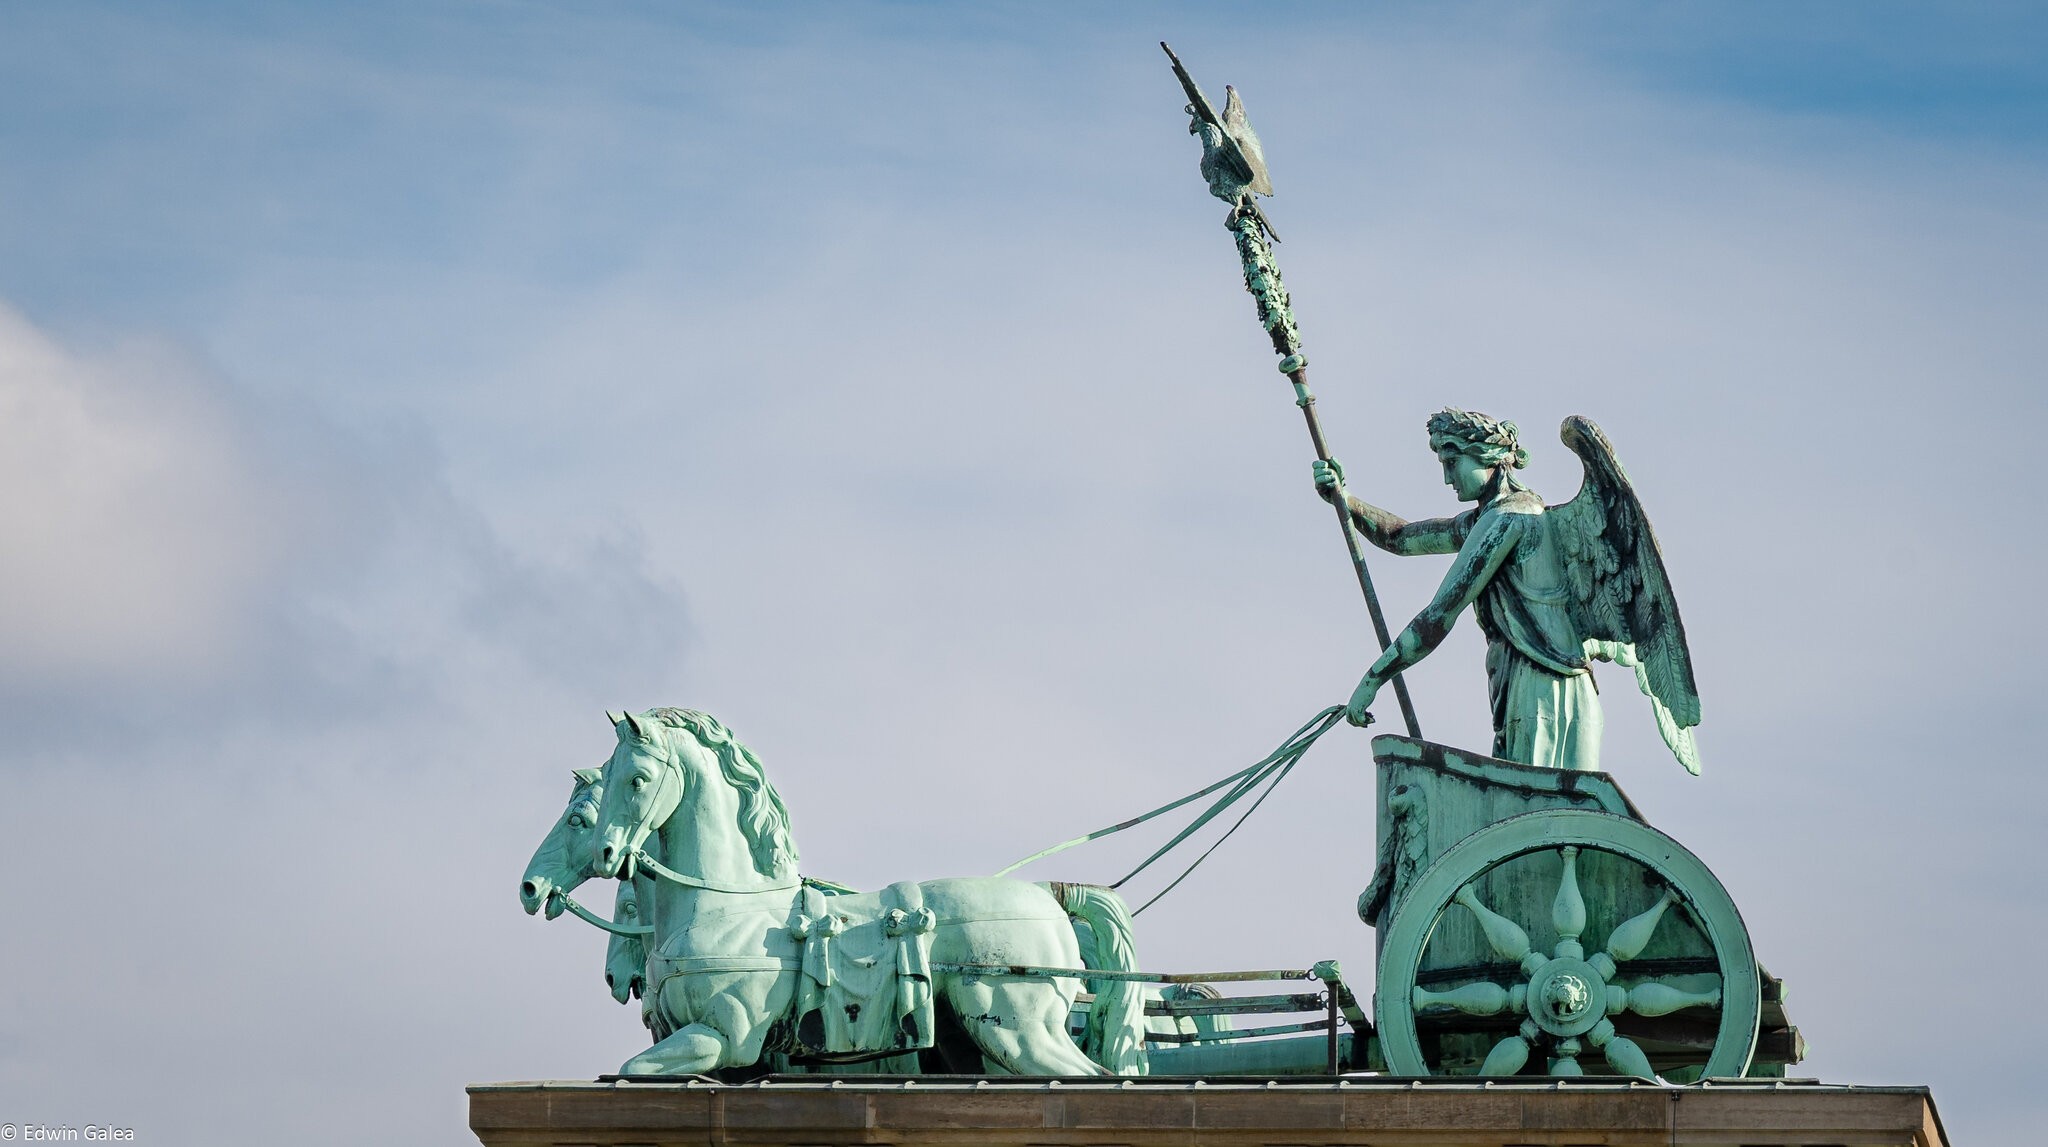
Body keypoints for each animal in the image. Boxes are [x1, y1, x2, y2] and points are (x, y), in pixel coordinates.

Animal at [589, 708, 1155, 1073]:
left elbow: (635, 1068)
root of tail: (1047, 893)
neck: (728, 905)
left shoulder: (727, 1038)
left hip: (1019, 1033)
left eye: (636, 779)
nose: (606, 853)